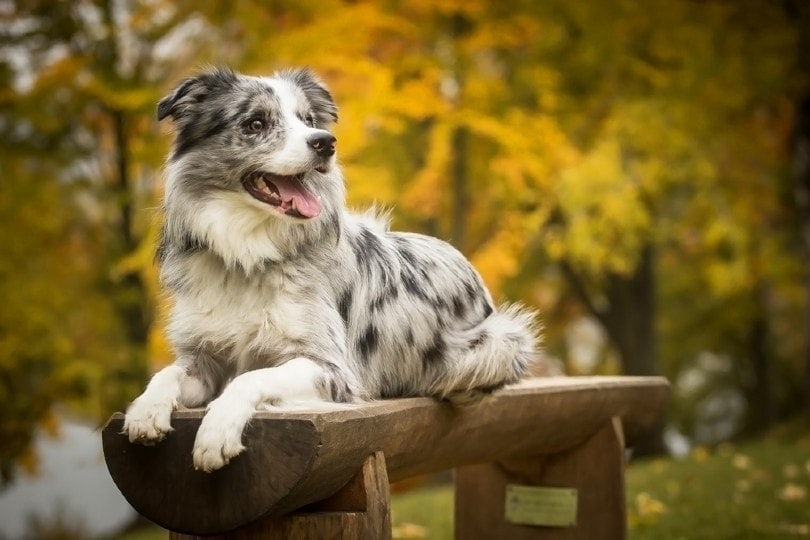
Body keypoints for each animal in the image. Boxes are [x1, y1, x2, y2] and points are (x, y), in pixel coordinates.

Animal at [123, 68, 540, 472]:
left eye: (308, 120)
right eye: (256, 123)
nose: (325, 142)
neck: (248, 256)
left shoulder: (332, 367)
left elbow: (249, 377)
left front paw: (216, 433)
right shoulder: (204, 357)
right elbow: (168, 373)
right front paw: (144, 411)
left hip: (500, 342)